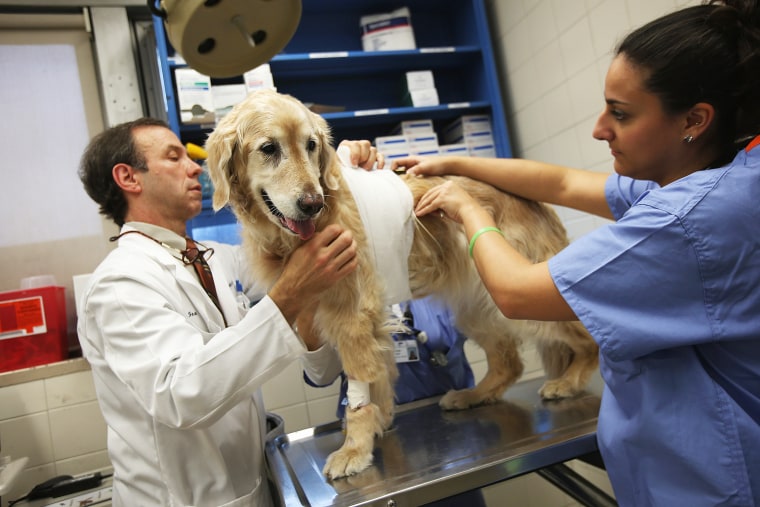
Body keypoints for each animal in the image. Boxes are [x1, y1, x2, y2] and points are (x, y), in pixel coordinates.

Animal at [205, 89, 596, 482]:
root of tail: (533, 200)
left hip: (521, 295)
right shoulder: (355, 314)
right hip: (478, 304)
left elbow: (360, 387)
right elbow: (378, 378)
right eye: (269, 148)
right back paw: (473, 395)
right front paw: (379, 421)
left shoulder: (352, 313)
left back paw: (570, 380)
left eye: (311, 145)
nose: (312, 203)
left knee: (586, 334)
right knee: (509, 362)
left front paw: (355, 447)